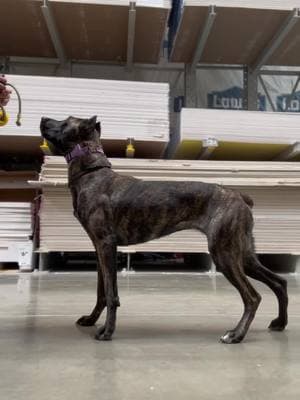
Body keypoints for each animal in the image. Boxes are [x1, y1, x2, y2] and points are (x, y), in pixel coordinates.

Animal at [39, 115, 288, 344]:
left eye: (65, 121)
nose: (42, 118)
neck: (93, 173)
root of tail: (239, 196)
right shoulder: (99, 249)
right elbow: (101, 292)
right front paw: (92, 320)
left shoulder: (106, 245)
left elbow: (111, 294)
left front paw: (107, 331)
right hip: (242, 254)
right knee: (279, 282)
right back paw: (280, 323)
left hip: (224, 254)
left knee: (252, 297)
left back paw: (236, 334)